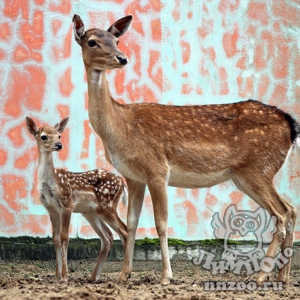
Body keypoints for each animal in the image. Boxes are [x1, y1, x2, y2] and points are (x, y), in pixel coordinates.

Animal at [72, 13, 300, 286]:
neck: (119, 128)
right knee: (291, 209)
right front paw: (124, 275)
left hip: (258, 168)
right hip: (246, 176)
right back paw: (282, 277)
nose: (122, 58)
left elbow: (161, 223)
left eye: (116, 40)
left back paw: (261, 276)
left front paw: (166, 276)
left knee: (283, 213)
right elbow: (132, 223)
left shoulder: (157, 169)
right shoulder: (133, 177)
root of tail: (291, 125)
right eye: (92, 41)